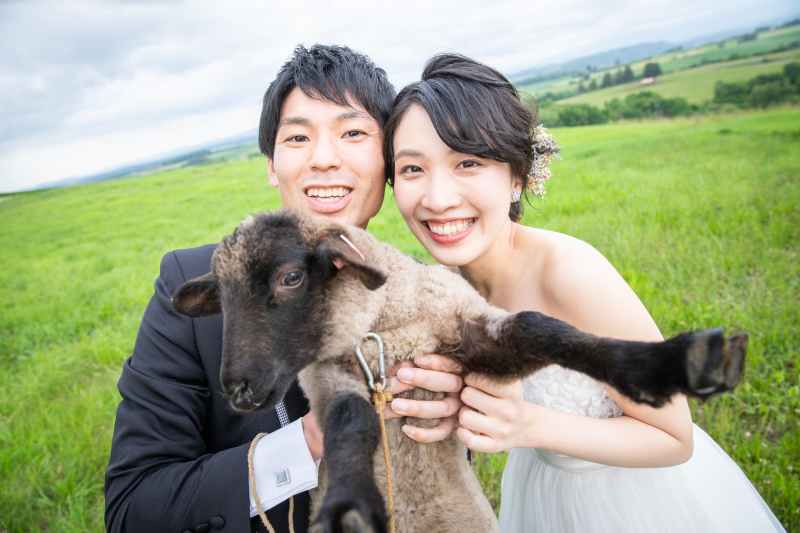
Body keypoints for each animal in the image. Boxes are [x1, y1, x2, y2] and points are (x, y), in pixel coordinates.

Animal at [172, 208, 748, 532]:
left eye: (291, 277)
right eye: (220, 296)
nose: (238, 389)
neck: (386, 330)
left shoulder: (472, 337)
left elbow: (539, 327)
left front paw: (666, 364)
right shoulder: (333, 384)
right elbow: (350, 425)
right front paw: (350, 505)